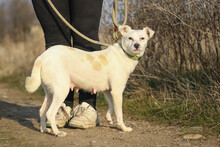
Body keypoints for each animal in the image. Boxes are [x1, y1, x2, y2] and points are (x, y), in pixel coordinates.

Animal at [24, 25, 154, 137]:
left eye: (142, 38)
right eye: (130, 38)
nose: (137, 45)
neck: (124, 53)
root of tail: (42, 57)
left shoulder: (108, 91)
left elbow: (111, 105)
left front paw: (108, 118)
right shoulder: (117, 91)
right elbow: (119, 113)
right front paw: (124, 128)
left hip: (50, 92)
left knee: (42, 111)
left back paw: (45, 129)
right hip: (61, 90)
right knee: (50, 113)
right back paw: (57, 132)